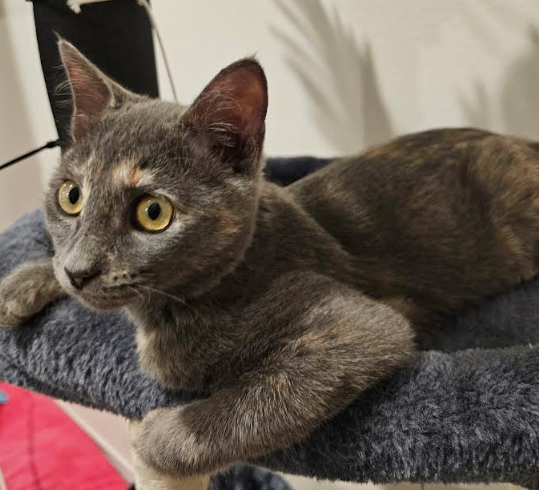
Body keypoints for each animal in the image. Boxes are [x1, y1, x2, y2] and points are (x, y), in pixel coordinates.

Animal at [2, 39, 539, 487]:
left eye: (153, 213)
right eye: (71, 197)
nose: (79, 271)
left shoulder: (357, 323)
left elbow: (263, 395)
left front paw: (156, 438)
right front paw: (25, 281)